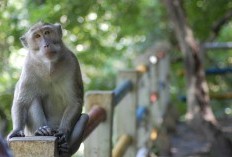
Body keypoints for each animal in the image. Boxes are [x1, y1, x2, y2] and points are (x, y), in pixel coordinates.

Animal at [7, 21, 89, 156]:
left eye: (47, 32)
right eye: (37, 36)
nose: (46, 44)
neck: (49, 66)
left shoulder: (72, 62)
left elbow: (74, 102)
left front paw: (63, 132)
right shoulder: (28, 66)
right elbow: (22, 101)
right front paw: (16, 131)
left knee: (84, 118)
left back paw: (64, 148)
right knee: (32, 99)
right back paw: (42, 131)